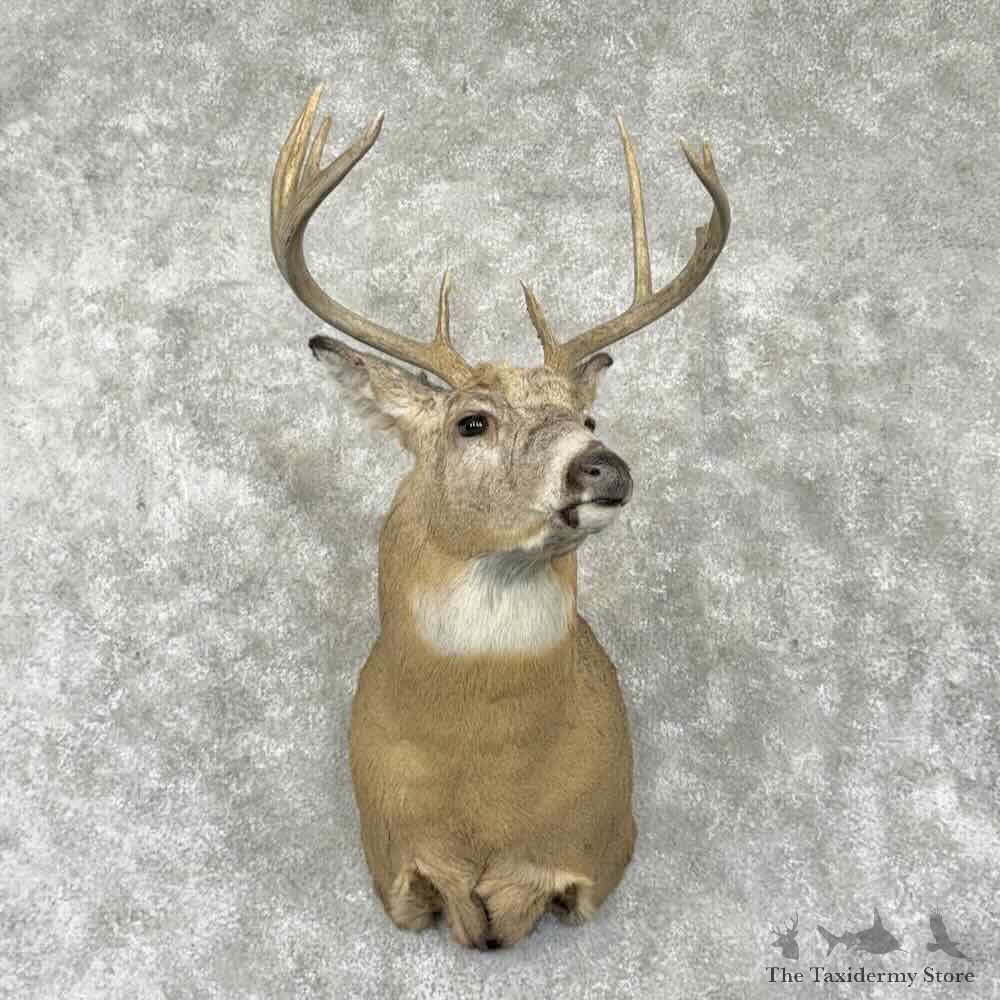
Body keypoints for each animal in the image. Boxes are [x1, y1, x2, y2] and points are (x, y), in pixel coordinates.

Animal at [270, 84, 730, 950]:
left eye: (588, 417)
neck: (484, 790)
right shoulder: (398, 860)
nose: (604, 466)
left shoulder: (590, 849)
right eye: (471, 422)